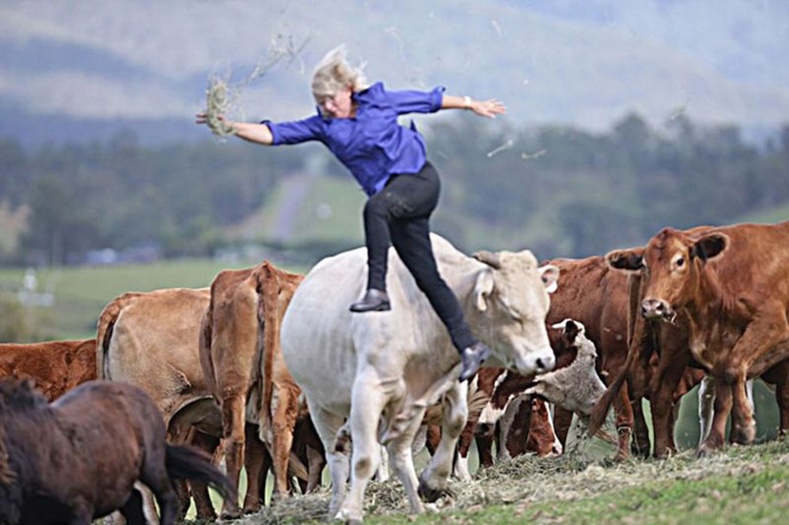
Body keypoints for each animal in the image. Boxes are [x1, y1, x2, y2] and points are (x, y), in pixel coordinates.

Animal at [280, 235, 556, 520]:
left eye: (544, 307)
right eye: (511, 312)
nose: (544, 360)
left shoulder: (445, 384)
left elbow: (456, 421)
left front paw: (432, 483)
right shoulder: (369, 391)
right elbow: (365, 458)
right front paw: (351, 512)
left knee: (398, 452)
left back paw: (418, 504)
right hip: (320, 404)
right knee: (338, 458)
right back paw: (337, 507)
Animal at [600, 221, 788, 454]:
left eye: (680, 260)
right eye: (645, 264)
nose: (652, 305)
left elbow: (726, 390)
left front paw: (716, 441)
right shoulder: (769, 327)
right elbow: (736, 375)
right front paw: (743, 428)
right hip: (672, 350)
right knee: (659, 391)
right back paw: (663, 450)